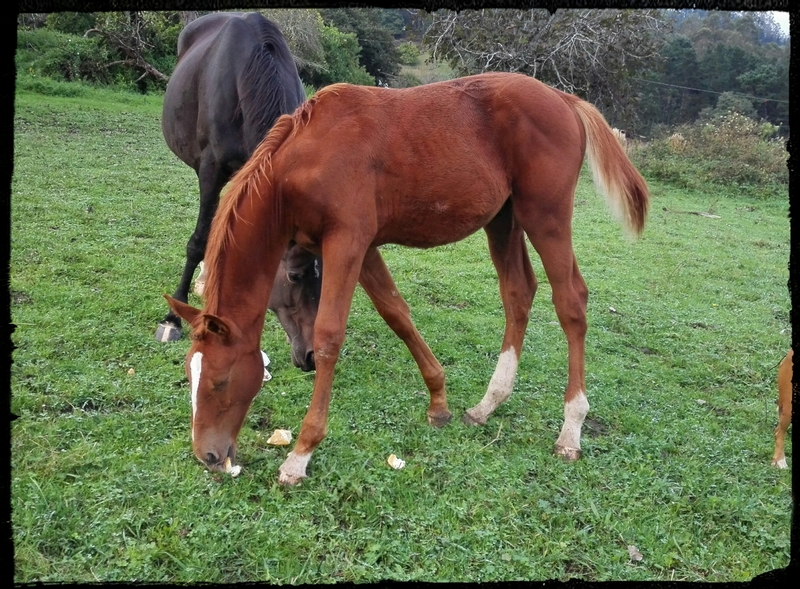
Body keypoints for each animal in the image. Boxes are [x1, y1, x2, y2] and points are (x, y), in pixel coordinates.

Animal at [166, 72, 650, 485]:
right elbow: (396, 312)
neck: (306, 157)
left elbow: (329, 336)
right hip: (504, 220)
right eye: (190, 376)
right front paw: (439, 403)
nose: (208, 455)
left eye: (219, 381)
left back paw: (570, 430)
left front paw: (300, 454)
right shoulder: (363, 248)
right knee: (518, 293)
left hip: (545, 216)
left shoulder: (347, 242)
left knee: (571, 301)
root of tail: (563, 99)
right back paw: (487, 405)